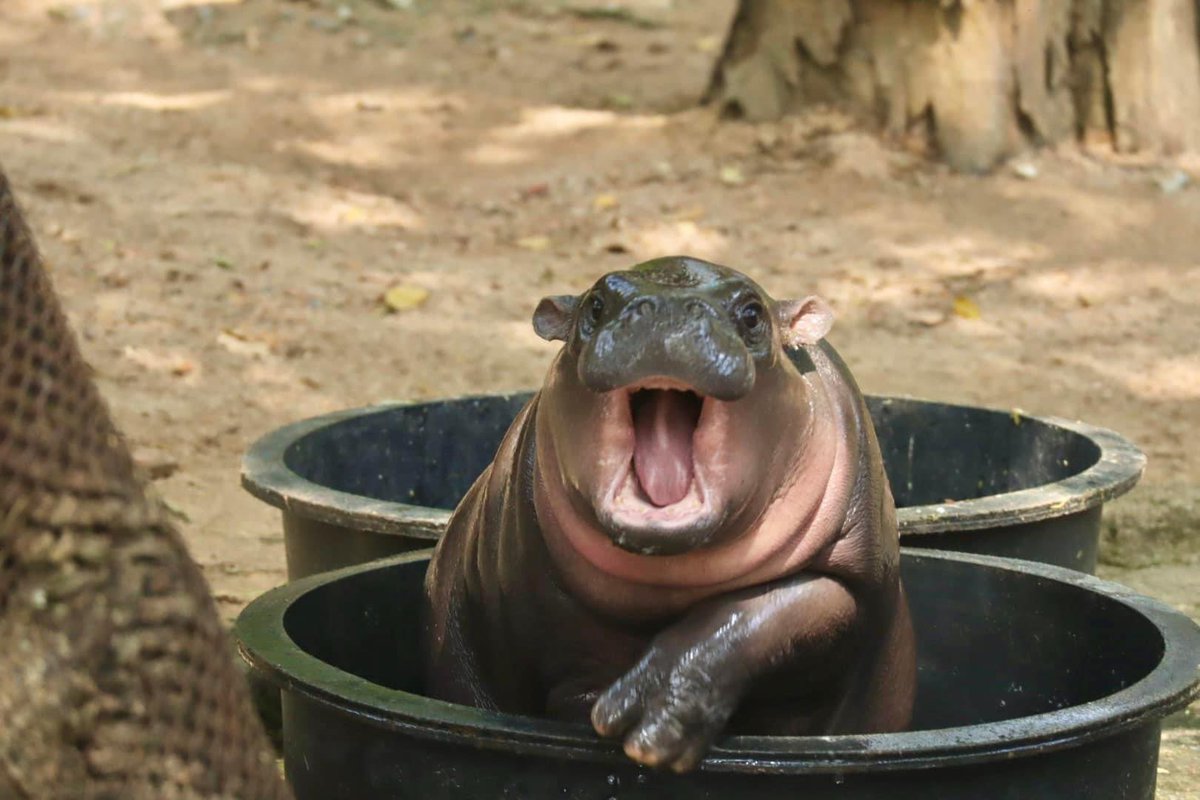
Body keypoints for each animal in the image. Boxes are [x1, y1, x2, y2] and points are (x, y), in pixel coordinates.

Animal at [421, 256, 916, 773]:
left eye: (753, 314)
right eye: (594, 304)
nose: (667, 310)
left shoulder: (857, 581)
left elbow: (767, 611)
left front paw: (650, 722)